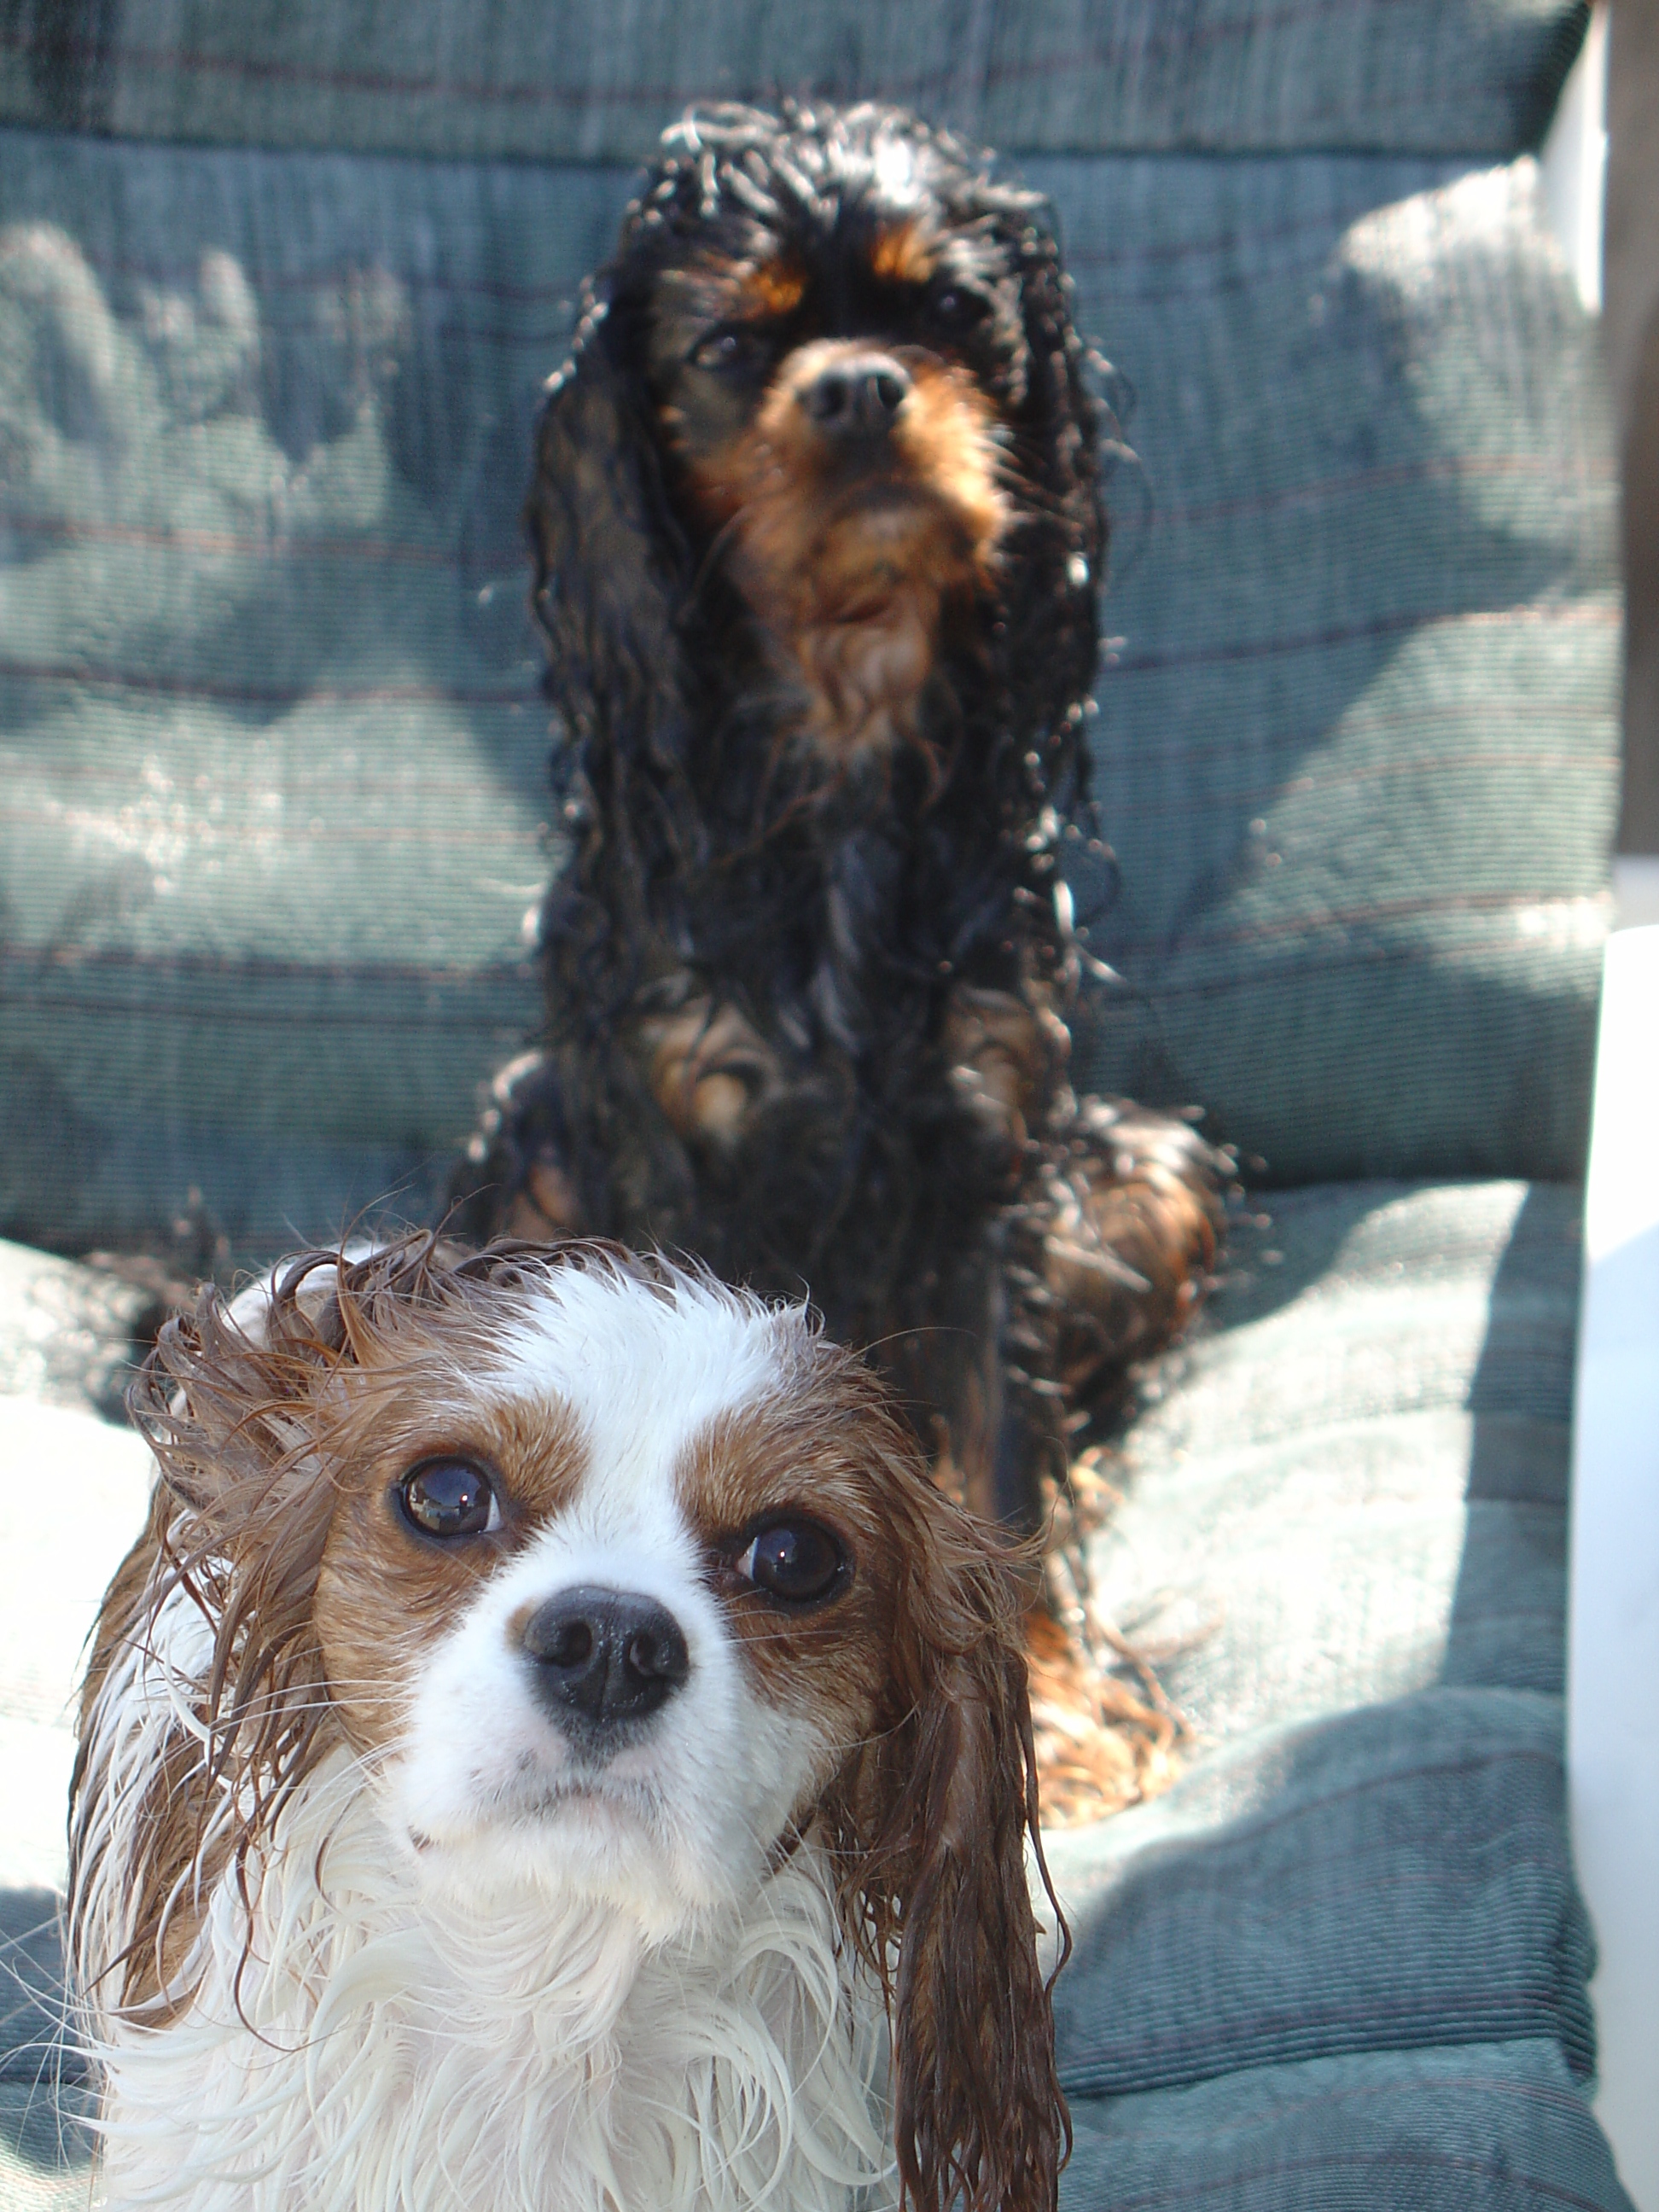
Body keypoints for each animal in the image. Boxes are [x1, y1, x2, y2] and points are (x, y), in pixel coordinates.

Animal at [450, 100, 1225, 1538]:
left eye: (953, 310)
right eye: (728, 346)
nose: (859, 385)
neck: (846, 737)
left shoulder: (988, 1141)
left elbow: (1004, 1455)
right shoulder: (669, 1141)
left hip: (1148, 1173)